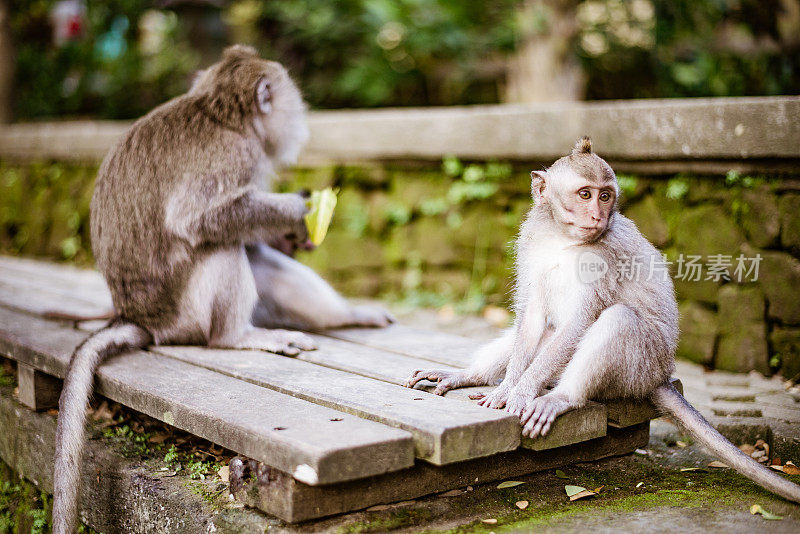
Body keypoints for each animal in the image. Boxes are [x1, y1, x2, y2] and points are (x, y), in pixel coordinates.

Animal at [54, 46, 392, 534]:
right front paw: (295, 210)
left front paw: (294, 234)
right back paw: (238, 336)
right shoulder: (236, 154)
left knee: (251, 253)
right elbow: (199, 219)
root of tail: (138, 318)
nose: (300, 119)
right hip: (186, 315)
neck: (219, 113)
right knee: (221, 246)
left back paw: (348, 316)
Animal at [410, 139, 800, 506]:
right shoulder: (531, 243)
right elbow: (532, 317)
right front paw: (508, 387)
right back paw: (468, 376)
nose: (598, 215)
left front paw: (520, 392)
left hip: (639, 368)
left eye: (606, 195)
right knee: (548, 331)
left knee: (617, 320)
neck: (563, 239)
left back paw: (562, 396)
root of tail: (661, 377)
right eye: (586, 194)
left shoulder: (602, 258)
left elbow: (582, 320)